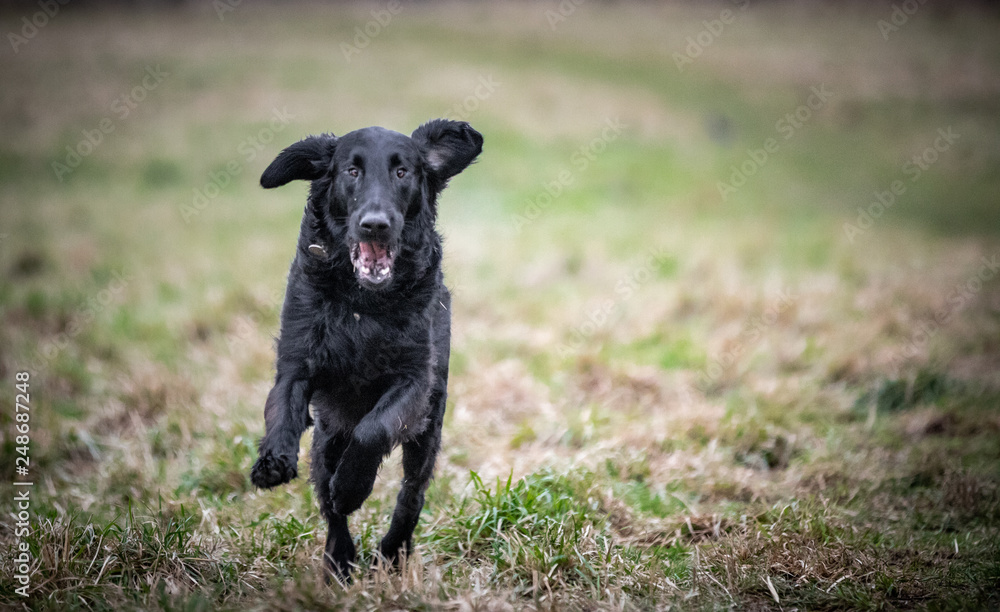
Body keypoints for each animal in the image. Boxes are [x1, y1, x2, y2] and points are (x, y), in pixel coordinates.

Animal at [250, 120, 484, 584]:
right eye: (352, 171)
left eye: (402, 172)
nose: (375, 225)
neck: (363, 303)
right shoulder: (296, 363)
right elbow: (283, 409)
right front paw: (273, 460)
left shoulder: (414, 382)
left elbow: (373, 430)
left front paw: (353, 486)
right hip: (326, 439)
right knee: (330, 508)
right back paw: (340, 560)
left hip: (428, 432)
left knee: (410, 496)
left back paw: (391, 553)